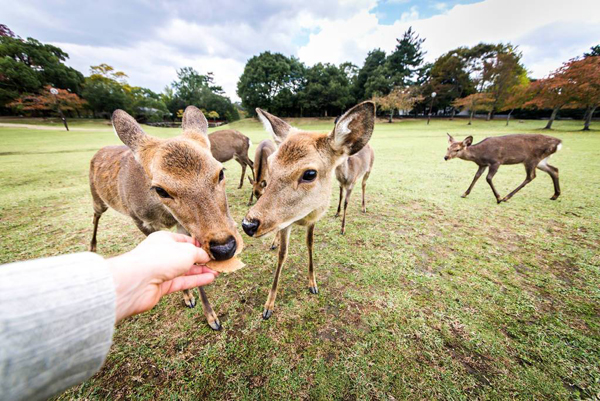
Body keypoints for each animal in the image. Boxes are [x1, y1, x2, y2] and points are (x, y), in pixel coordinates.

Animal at [88, 105, 243, 328]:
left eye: (220, 172)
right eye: (160, 190)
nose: (224, 247)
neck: (165, 216)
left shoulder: (183, 226)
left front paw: (210, 315)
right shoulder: (140, 220)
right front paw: (192, 301)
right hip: (97, 198)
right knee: (95, 216)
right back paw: (92, 247)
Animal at [240, 102, 372, 318]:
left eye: (310, 173)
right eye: (270, 164)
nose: (248, 224)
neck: (301, 217)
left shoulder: (314, 218)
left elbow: (310, 245)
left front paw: (313, 284)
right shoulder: (285, 223)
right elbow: (282, 254)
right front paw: (268, 306)